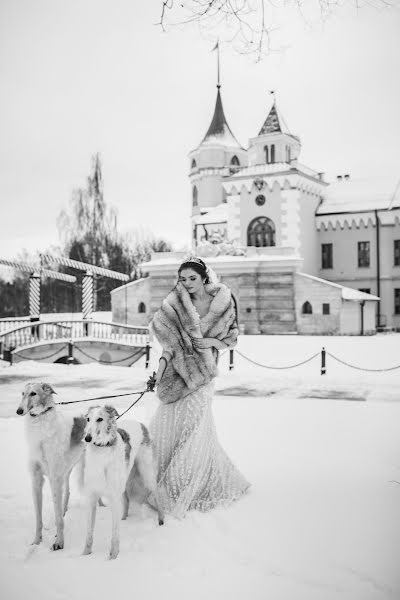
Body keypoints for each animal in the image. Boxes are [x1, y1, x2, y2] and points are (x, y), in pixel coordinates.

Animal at [15, 382, 86, 552]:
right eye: (22, 393)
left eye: (33, 393)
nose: (19, 411)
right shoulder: (36, 480)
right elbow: (38, 518)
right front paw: (36, 541)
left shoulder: (54, 478)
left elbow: (58, 519)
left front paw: (59, 542)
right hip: (66, 471)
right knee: (67, 492)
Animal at [82, 406, 163, 560]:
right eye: (88, 419)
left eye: (100, 419)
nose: (87, 438)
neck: (102, 451)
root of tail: (140, 423)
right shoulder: (91, 497)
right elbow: (88, 533)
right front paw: (84, 555)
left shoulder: (113, 497)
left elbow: (114, 534)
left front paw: (113, 557)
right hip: (125, 479)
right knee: (126, 500)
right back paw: (124, 518)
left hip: (147, 473)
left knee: (156, 493)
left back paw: (161, 520)